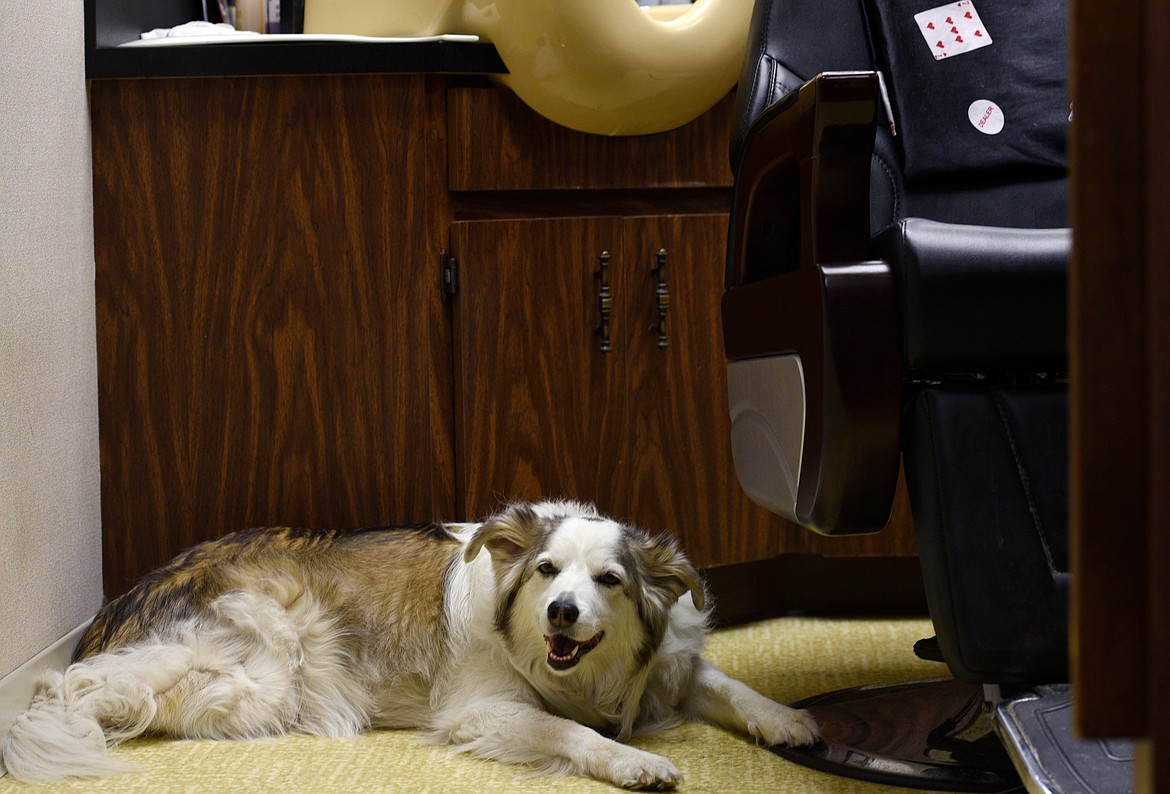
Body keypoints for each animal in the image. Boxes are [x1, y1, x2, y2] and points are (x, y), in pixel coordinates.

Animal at [4, 500, 819, 785]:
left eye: (610, 580)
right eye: (547, 570)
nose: (561, 613)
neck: (593, 673)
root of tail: (122, 599)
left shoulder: (668, 666)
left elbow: (729, 686)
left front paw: (791, 721)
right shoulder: (481, 711)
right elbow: (571, 732)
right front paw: (635, 762)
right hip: (256, 669)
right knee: (71, 688)